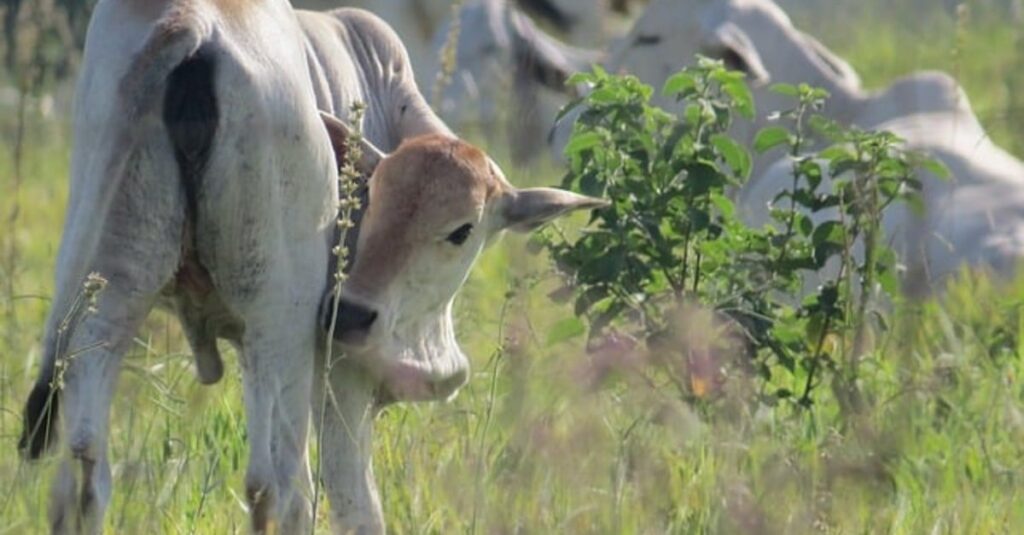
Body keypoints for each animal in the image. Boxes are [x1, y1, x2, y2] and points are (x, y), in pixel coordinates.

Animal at [18, 2, 606, 528]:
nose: (350, 313)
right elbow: (357, 506)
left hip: (109, 293)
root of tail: (196, 22)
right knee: (275, 490)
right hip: (280, 321)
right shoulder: (339, 368)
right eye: (370, 201)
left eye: (461, 230)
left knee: (84, 473)